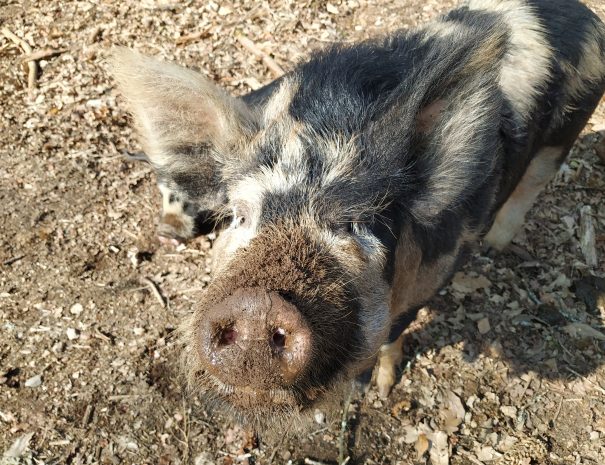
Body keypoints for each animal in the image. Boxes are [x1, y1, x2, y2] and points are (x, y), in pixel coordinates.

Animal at [111, 0, 604, 430]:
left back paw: (499, 246)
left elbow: (391, 334)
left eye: (356, 223)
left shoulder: (435, 273)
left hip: (566, 133)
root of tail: (583, 12)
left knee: (535, 183)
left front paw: (378, 390)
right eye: (238, 215)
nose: (257, 306)